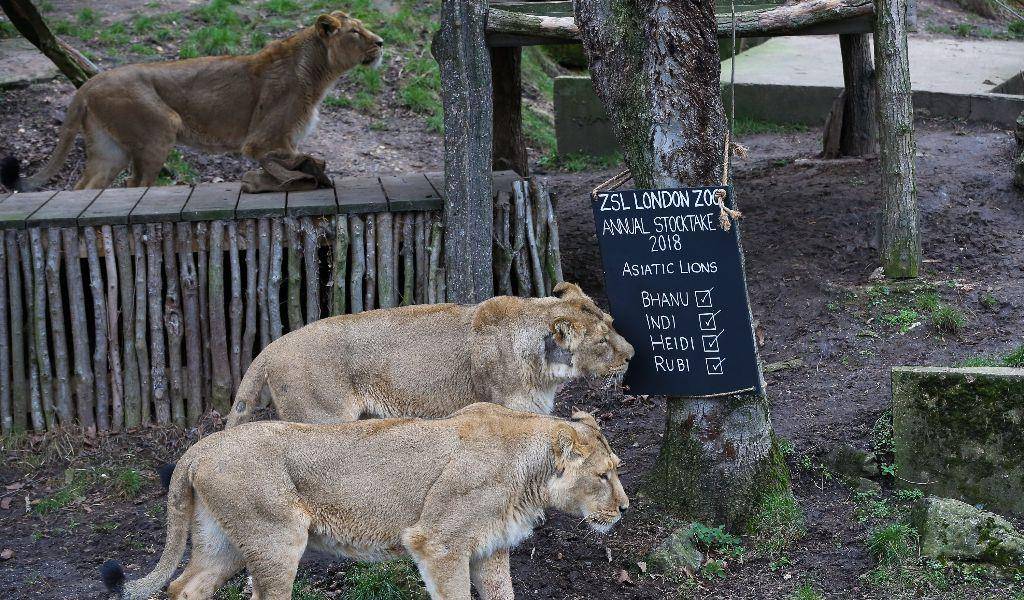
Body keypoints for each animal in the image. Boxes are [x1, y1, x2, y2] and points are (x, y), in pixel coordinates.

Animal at [1, 11, 385, 190]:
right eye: (355, 32)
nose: (381, 42)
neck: (320, 72)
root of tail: (89, 82)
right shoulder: (262, 141)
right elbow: (294, 158)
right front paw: (307, 171)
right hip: (159, 129)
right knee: (135, 185)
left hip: (109, 150)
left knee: (86, 186)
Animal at [105, 401, 630, 597]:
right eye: (603, 475)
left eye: (617, 470)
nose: (625, 509)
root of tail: (201, 446)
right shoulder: (438, 544)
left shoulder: (491, 550)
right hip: (276, 541)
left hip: (225, 542)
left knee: (184, 586)